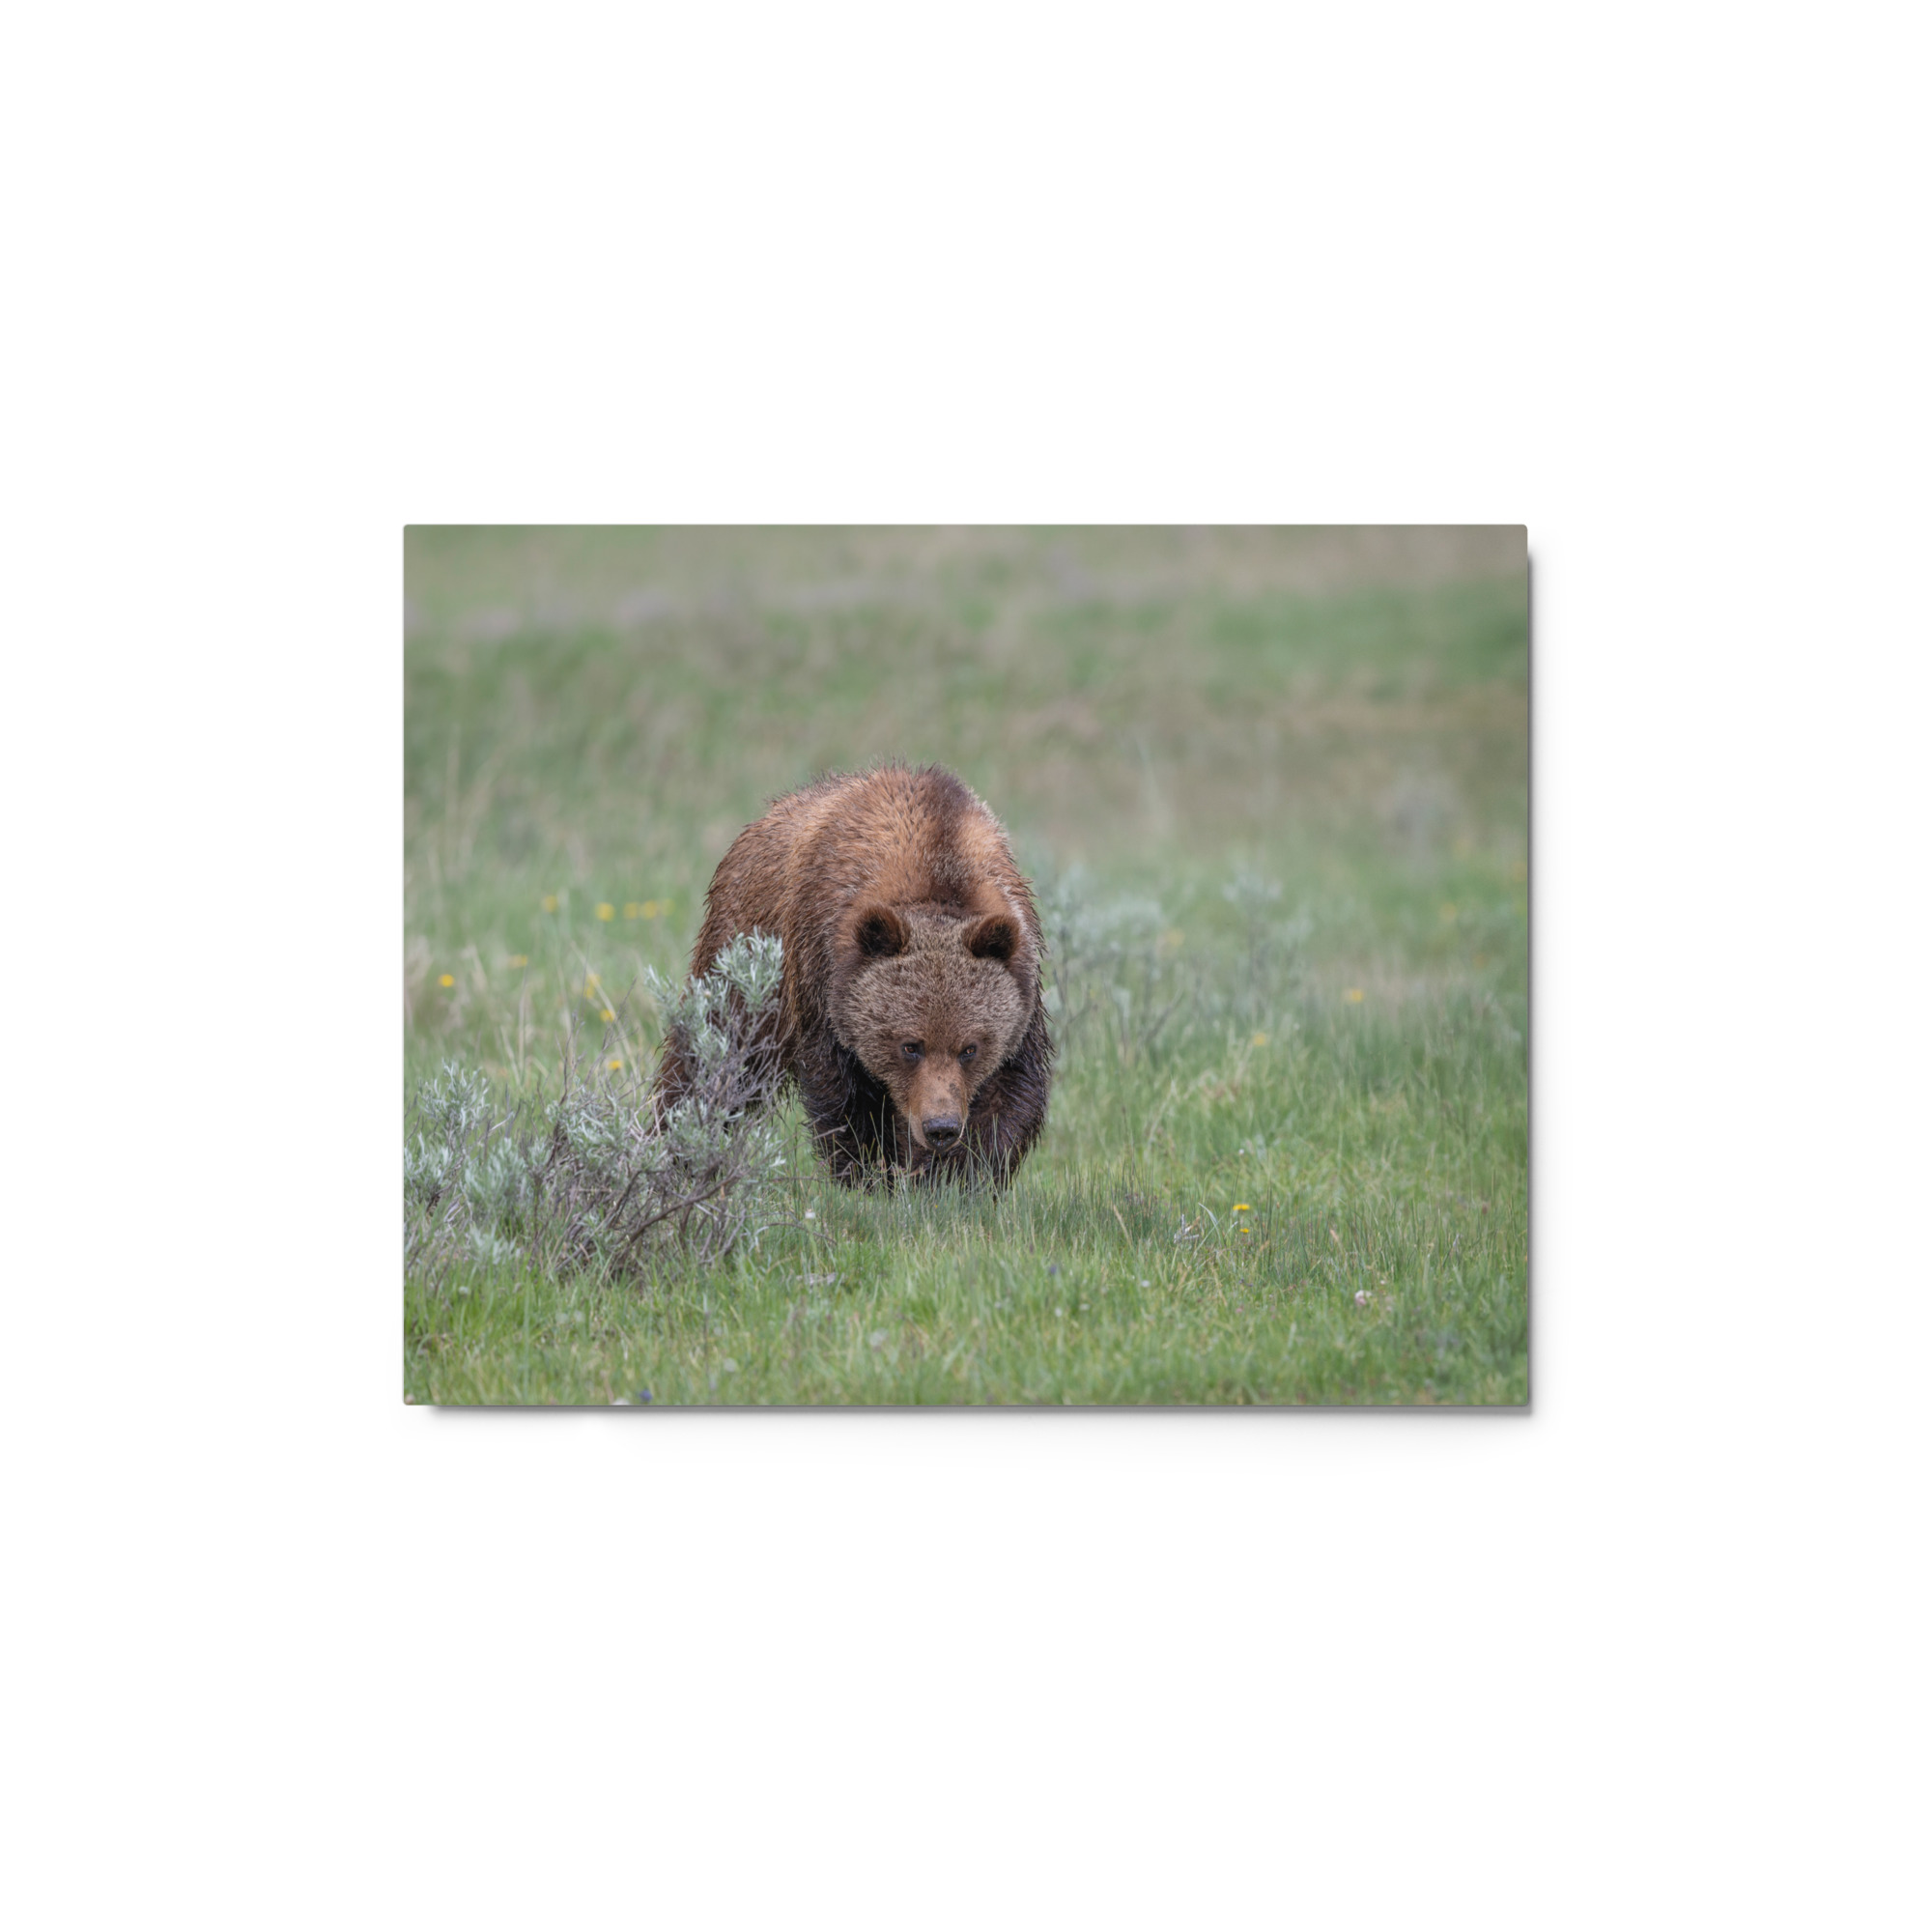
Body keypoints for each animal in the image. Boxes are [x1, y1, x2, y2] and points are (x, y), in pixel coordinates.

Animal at [654, 763, 1054, 1187]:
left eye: (970, 1048)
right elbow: (844, 1096)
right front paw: (869, 1174)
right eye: (910, 1045)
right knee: (713, 1055)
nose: (940, 1127)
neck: (938, 867)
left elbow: (1009, 1095)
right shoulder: (822, 976)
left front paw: (956, 1178)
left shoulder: (1021, 986)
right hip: (744, 957)